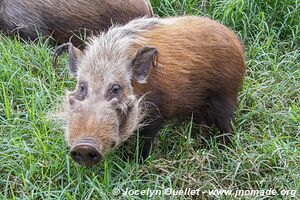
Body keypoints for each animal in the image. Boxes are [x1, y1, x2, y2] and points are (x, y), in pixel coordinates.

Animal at [54, 16, 246, 166]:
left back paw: (225, 149)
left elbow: (145, 143)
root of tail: (236, 41)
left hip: (225, 96)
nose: (84, 147)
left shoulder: (155, 116)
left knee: (227, 126)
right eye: (82, 87)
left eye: (116, 89)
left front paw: (138, 163)